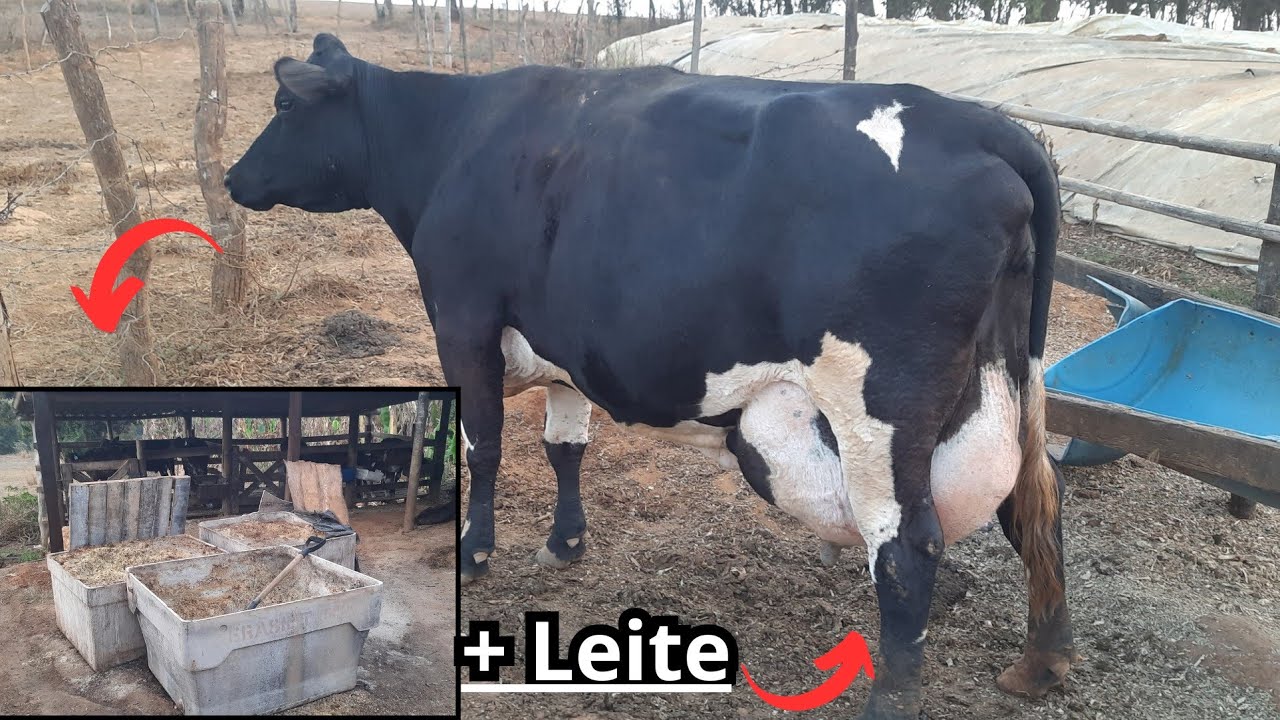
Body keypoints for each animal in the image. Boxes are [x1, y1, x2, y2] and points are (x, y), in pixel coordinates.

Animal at [225, 34, 1074, 718]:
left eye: (283, 103)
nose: (234, 177)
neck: (452, 141)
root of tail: (973, 120)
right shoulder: (565, 341)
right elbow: (564, 447)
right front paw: (565, 542)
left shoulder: (462, 321)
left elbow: (483, 446)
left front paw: (475, 551)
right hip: (1010, 385)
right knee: (1036, 500)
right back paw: (1042, 663)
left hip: (878, 403)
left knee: (906, 546)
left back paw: (891, 701)